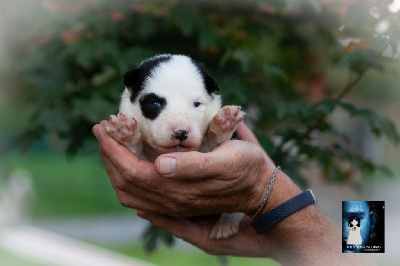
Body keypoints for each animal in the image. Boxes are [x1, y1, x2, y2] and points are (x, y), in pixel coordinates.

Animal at [104, 54, 244, 239]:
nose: (181, 132)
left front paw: (224, 124)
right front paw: (125, 132)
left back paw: (225, 224)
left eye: (196, 104)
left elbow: (213, 144)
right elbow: (134, 151)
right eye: (156, 104)